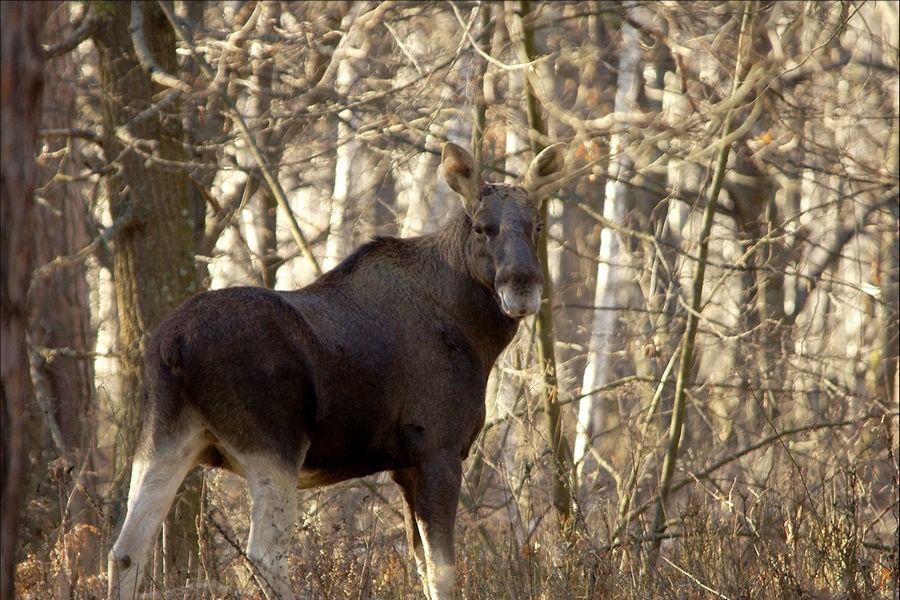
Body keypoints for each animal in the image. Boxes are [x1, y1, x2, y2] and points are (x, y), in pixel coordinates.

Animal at [109, 142, 568, 600]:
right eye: (481, 228)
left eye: (538, 225)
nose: (522, 286)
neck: (476, 335)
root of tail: (174, 347)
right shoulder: (438, 446)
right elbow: (443, 572)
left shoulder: (405, 465)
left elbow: (422, 566)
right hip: (274, 446)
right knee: (263, 554)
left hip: (165, 436)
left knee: (127, 550)